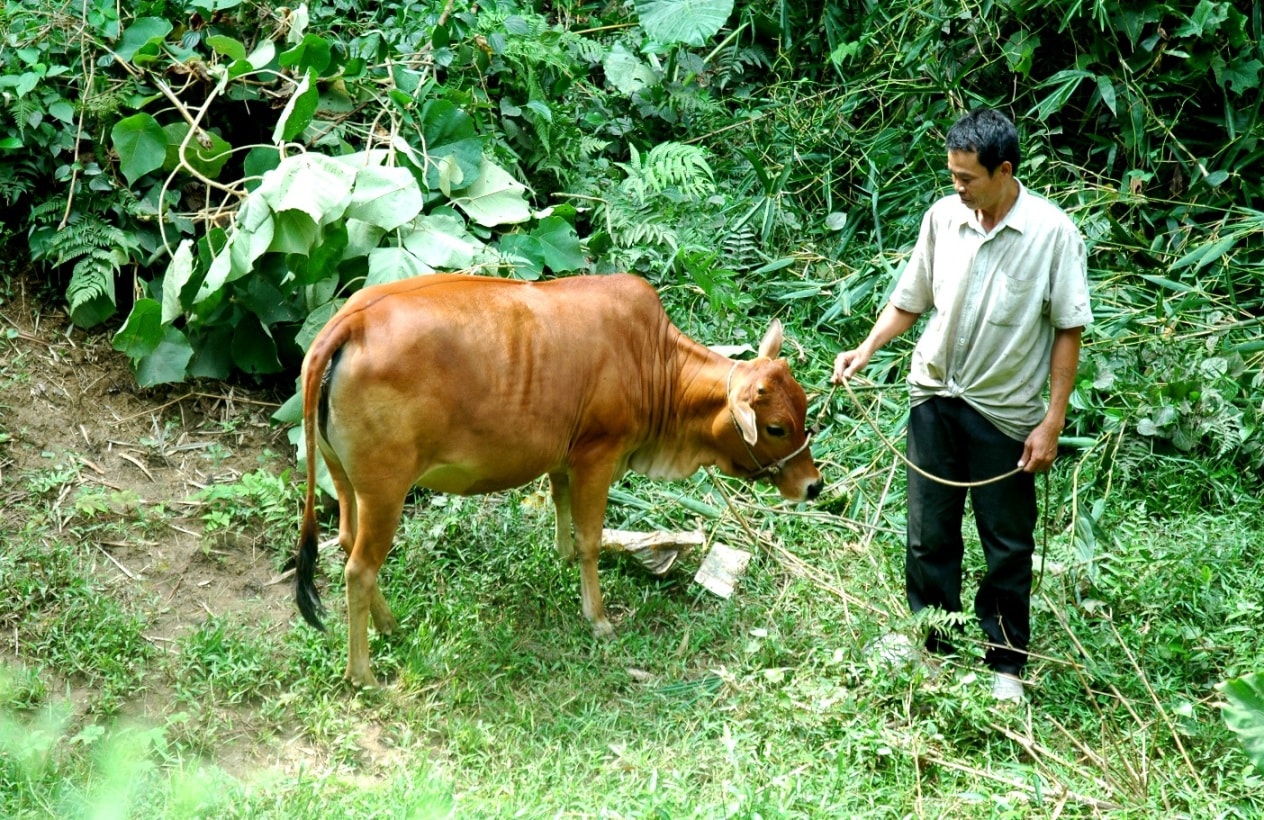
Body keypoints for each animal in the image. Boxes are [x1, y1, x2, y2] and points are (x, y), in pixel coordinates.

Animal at [297, 270, 829, 682]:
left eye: (803, 407)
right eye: (776, 427)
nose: (813, 485)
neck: (655, 362)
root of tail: (353, 319)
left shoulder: (563, 457)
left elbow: (562, 510)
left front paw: (563, 556)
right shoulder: (598, 455)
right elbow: (590, 538)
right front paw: (598, 617)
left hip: (345, 478)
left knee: (347, 542)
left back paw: (389, 625)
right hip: (385, 489)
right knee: (359, 569)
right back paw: (363, 673)